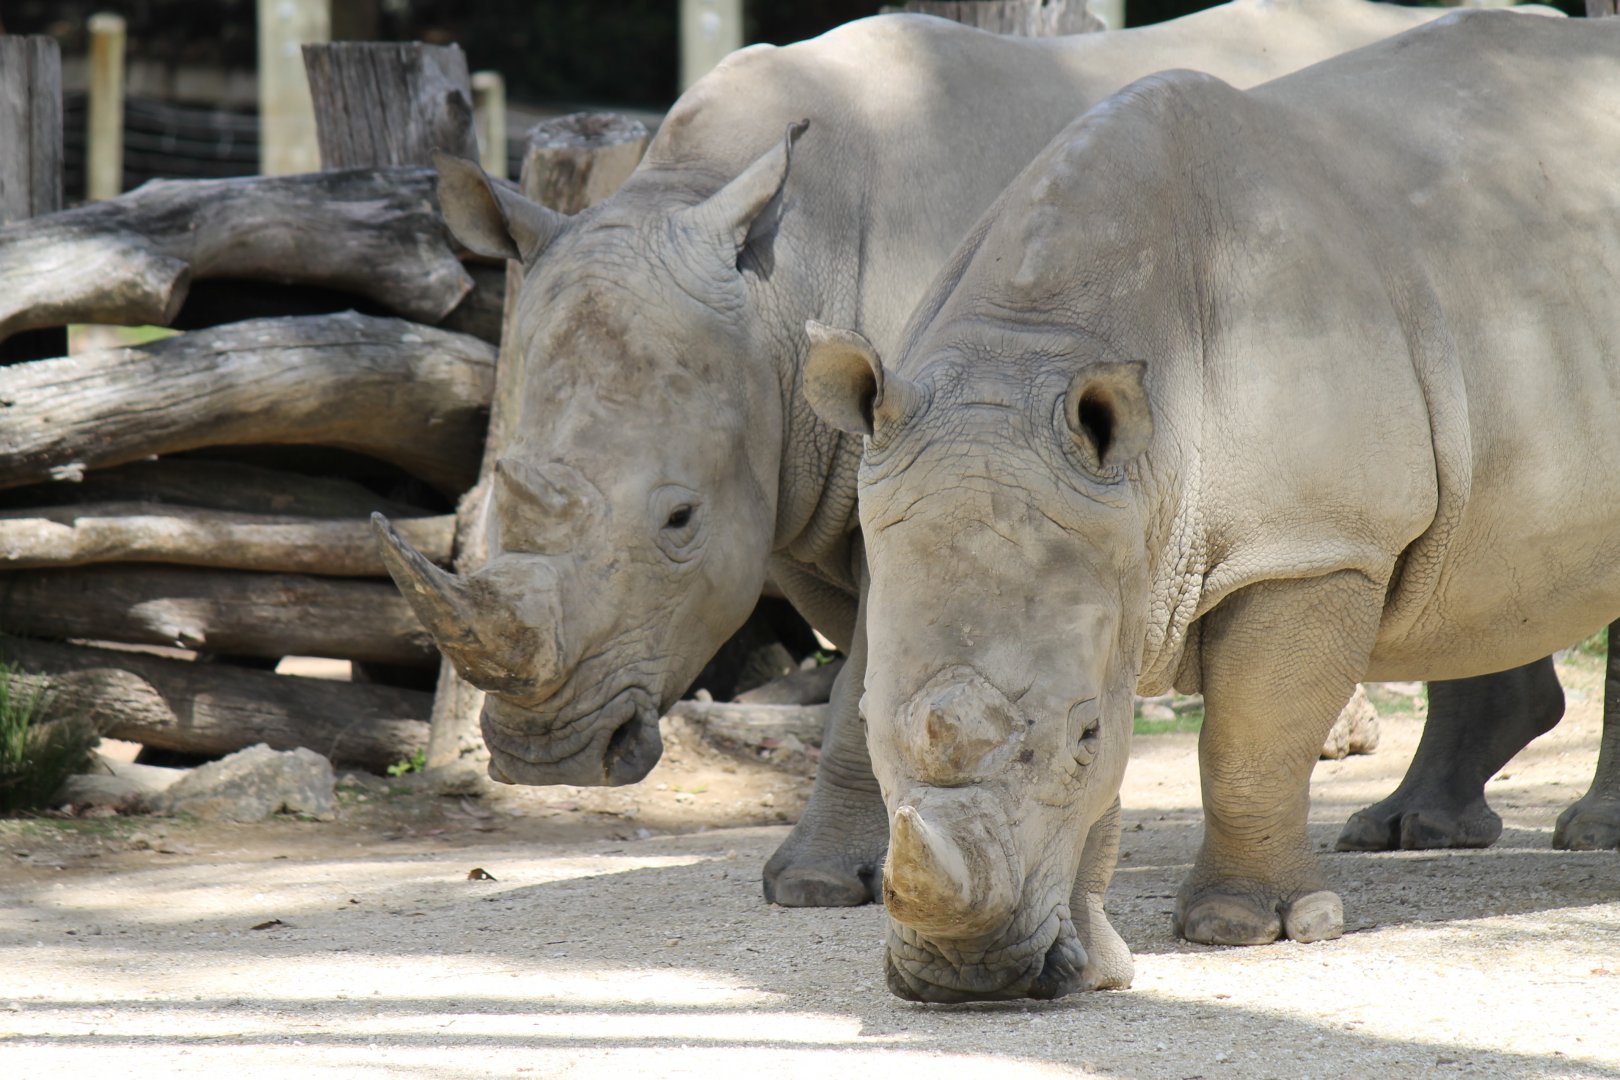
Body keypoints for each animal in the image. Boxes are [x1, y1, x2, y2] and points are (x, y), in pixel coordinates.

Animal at [373, 0, 1533, 909]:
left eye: (678, 521)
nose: (544, 755)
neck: (778, 286)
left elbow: (860, 686)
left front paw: (811, 884)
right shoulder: (819, 487)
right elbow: (870, 673)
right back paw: (1412, 829)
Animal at [803, 11, 1620, 1000]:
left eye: (1083, 732)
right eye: (872, 726)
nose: (968, 977)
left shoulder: (1314, 542)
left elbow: (1250, 739)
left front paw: (1244, 928)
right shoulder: (1105, 541)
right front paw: (1097, 968)